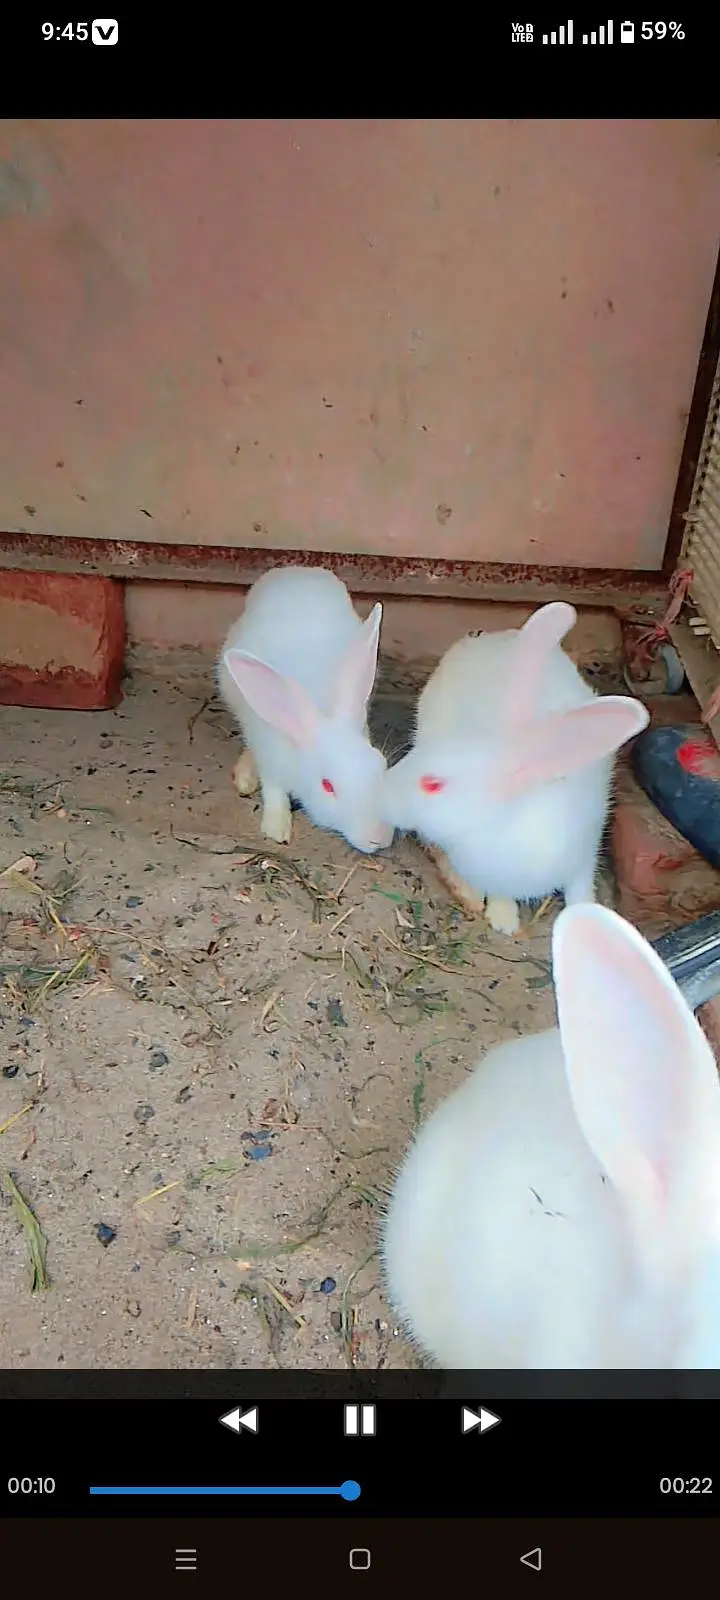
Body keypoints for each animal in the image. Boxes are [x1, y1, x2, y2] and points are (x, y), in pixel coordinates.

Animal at [217, 565, 394, 854]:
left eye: (381, 765)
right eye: (327, 786)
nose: (378, 837)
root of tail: (296, 569)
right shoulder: (269, 754)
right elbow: (273, 789)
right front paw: (276, 828)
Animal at [377, 601, 649, 934]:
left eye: (432, 784)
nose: (378, 793)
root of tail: (482, 639)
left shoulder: (586, 848)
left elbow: (580, 887)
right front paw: (504, 919)